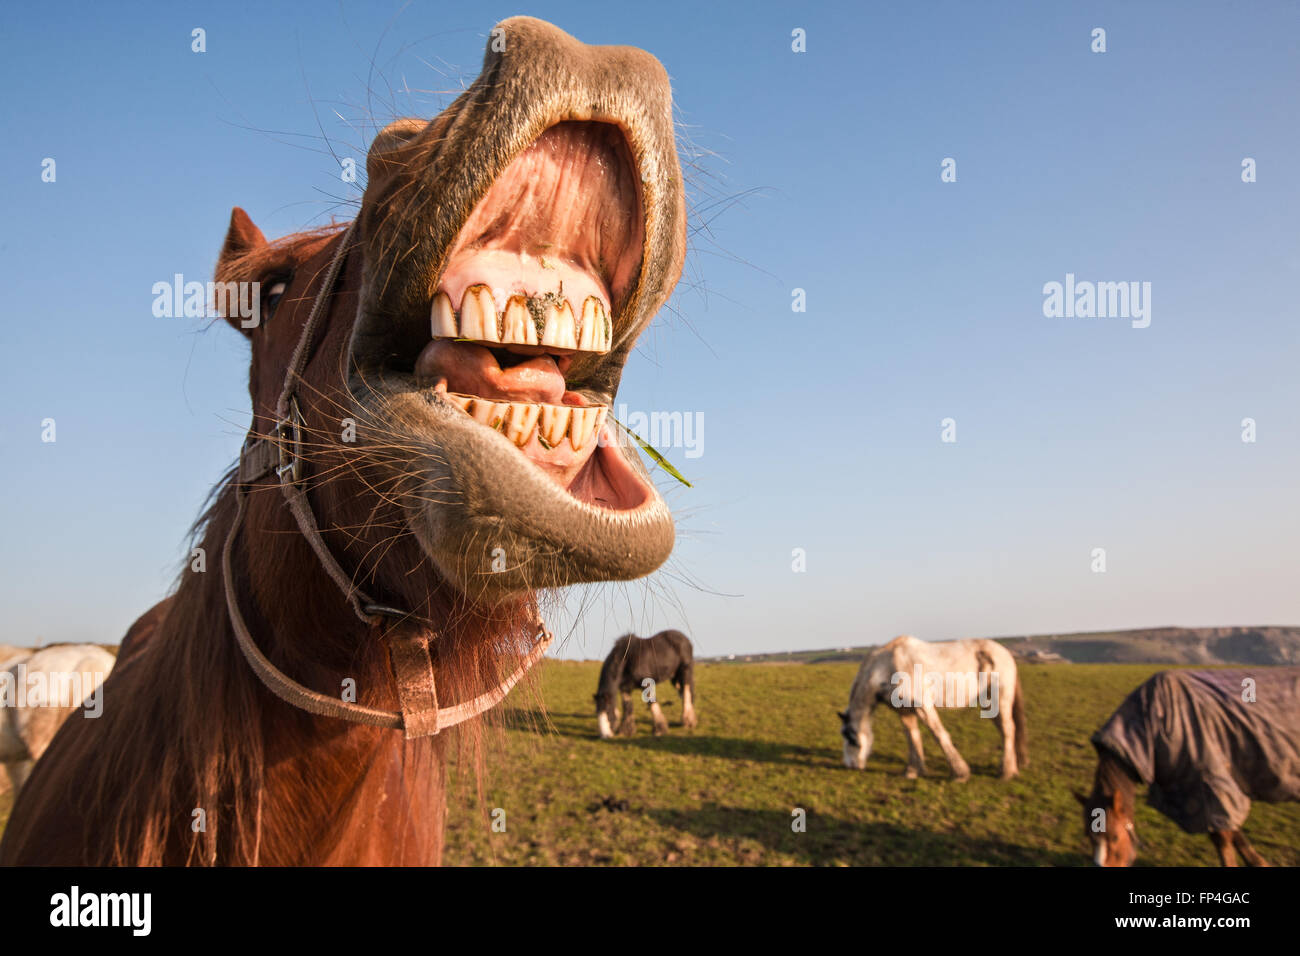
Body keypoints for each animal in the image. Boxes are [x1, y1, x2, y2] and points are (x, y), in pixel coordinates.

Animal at [837, 632, 1029, 780]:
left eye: (851, 738)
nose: (851, 766)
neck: (888, 666)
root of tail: (1006, 654)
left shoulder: (923, 707)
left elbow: (939, 735)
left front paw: (960, 773)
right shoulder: (905, 712)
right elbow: (912, 737)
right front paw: (913, 771)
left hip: (1000, 700)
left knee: (1008, 729)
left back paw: (1006, 772)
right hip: (990, 705)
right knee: (1005, 730)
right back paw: (1011, 767)